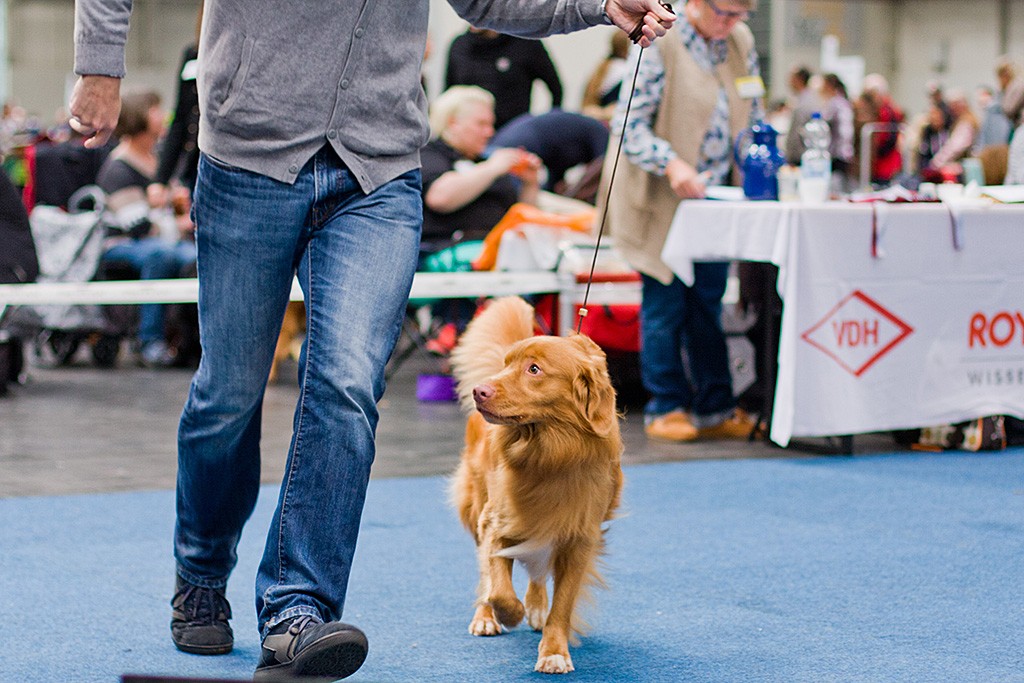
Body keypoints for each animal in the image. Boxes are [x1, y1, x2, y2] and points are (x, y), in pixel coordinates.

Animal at [450, 296, 622, 675]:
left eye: (534, 369)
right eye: (507, 365)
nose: (480, 391)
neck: (550, 453)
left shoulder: (578, 539)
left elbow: (563, 604)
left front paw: (554, 649)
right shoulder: (496, 523)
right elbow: (497, 585)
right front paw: (507, 613)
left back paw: (537, 607)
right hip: (476, 504)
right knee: (486, 572)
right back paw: (486, 616)